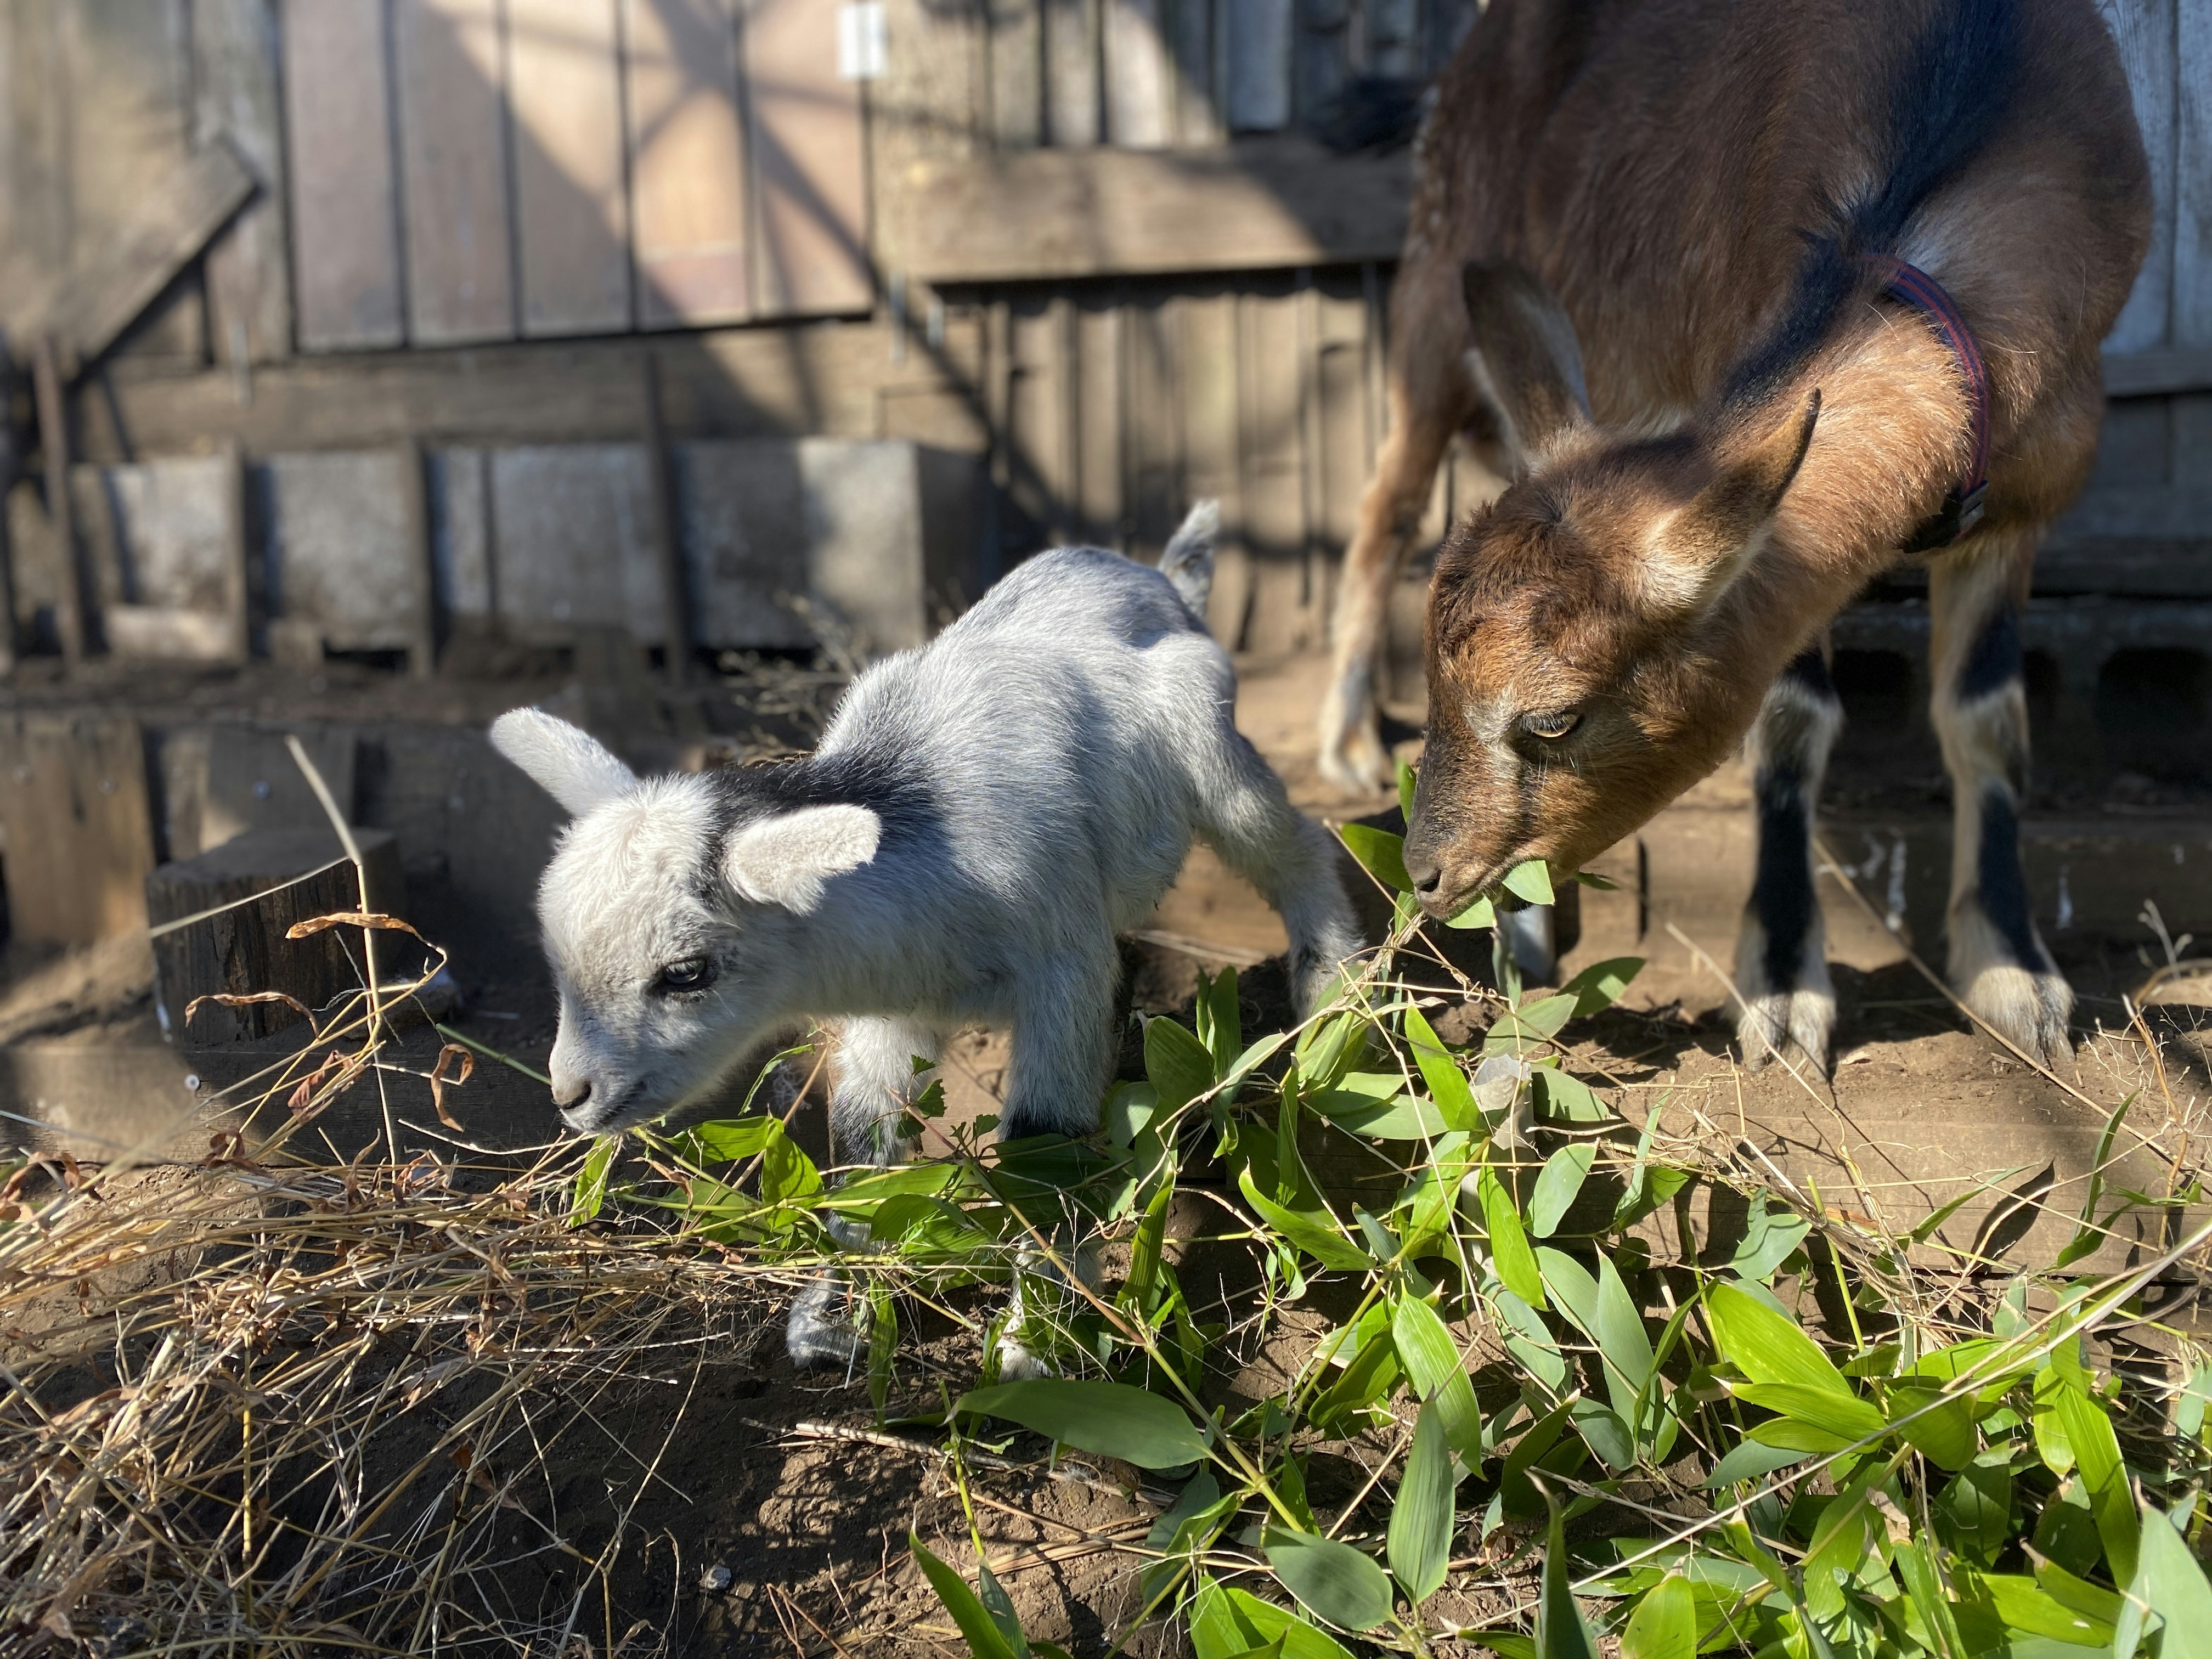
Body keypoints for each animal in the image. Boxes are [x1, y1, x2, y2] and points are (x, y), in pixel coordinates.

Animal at [491, 505, 1361, 1375]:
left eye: (685, 971)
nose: (572, 1095)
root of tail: (1154, 577)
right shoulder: (890, 1005)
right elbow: (862, 1141)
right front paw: (835, 1318)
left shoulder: (1065, 972)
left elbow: (1044, 1146)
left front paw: (1036, 1346)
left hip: (1213, 754)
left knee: (1298, 845)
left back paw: (1339, 990)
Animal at [1319, 0, 2149, 1070]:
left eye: (1552, 720)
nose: (1425, 874)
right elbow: (1794, 718)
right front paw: (1784, 992)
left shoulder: (2025, 495)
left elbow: (1987, 718)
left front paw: (2015, 976)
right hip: (1432, 281)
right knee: (1384, 505)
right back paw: (1363, 764)